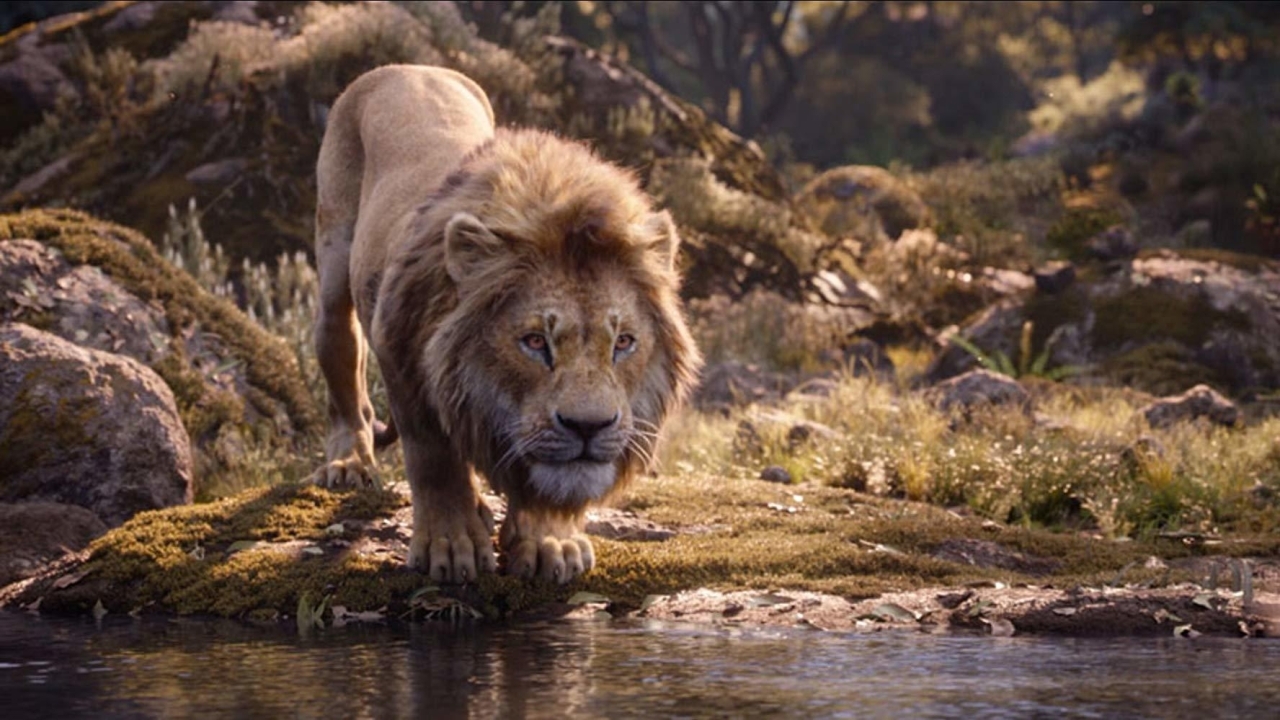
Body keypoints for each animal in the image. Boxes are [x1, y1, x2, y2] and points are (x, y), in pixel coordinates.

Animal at [311, 65, 701, 585]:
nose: (589, 427)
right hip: (334, 271)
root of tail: (407, 68)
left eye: (623, 343)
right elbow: (434, 458)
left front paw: (550, 542)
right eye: (534, 342)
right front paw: (449, 545)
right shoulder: (399, 353)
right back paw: (349, 462)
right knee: (344, 370)